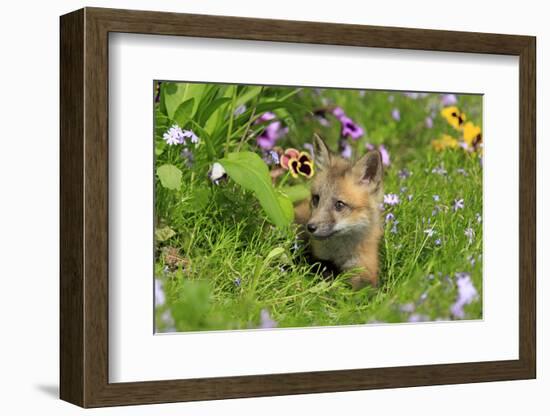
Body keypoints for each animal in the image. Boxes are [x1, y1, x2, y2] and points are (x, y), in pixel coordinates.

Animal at [298, 136, 384, 290]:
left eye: (339, 204)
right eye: (316, 199)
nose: (310, 227)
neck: (339, 254)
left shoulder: (365, 269)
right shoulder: (319, 258)